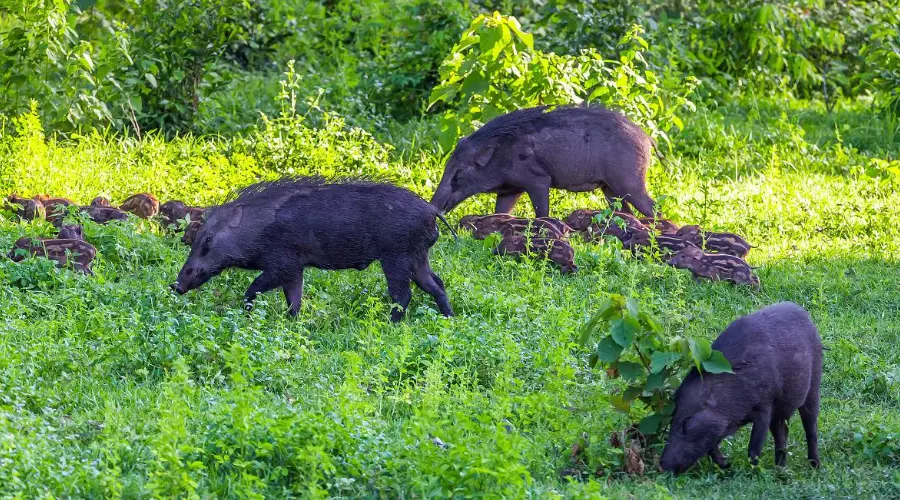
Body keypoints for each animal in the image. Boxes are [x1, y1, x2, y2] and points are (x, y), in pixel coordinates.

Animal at [171, 178, 458, 322]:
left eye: (208, 240)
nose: (176, 285)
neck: (254, 229)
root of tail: (432, 210)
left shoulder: (282, 266)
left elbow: (252, 289)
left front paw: (249, 315)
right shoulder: (295, 271)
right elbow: (294, 301)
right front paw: (291, 323)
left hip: (397, 258)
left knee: (403, 295)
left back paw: (389, 324)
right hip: (418, 258)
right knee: (437, 285)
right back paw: (449, 319)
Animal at [432, 106, 656, 218]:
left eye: (459, 172)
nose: (433, 207)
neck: (499, 154)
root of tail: (647, 138)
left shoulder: (538, 181)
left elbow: (542, 213)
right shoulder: (510, 190)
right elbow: (500, 212)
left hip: (630, 184)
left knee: (653, 208)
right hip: (609, 189)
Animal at [656, 302, 820, 474]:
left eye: (686, 422)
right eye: (672, 418)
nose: (661, 466)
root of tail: (805, 314)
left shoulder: (765, 405)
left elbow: (754, 446)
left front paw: (752, 470)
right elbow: (712, 447)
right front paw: (726, 465)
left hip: (814, 386)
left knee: (811, 428)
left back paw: (815, 465)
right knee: (782, 433)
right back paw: (781, 469)